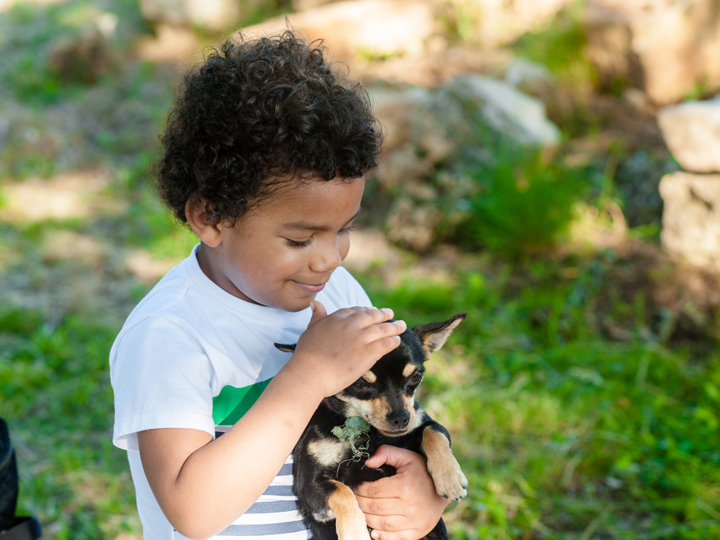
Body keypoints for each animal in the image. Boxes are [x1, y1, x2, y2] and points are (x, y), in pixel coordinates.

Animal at [276, 312, 466, 540]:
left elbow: (434, 431)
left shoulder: (421, 421)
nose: (401, 418)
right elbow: (343, 492)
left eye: (415, 377)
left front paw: (450, 478)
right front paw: (354, 533)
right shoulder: (309, 485)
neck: (368, 432)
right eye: (360, 384)